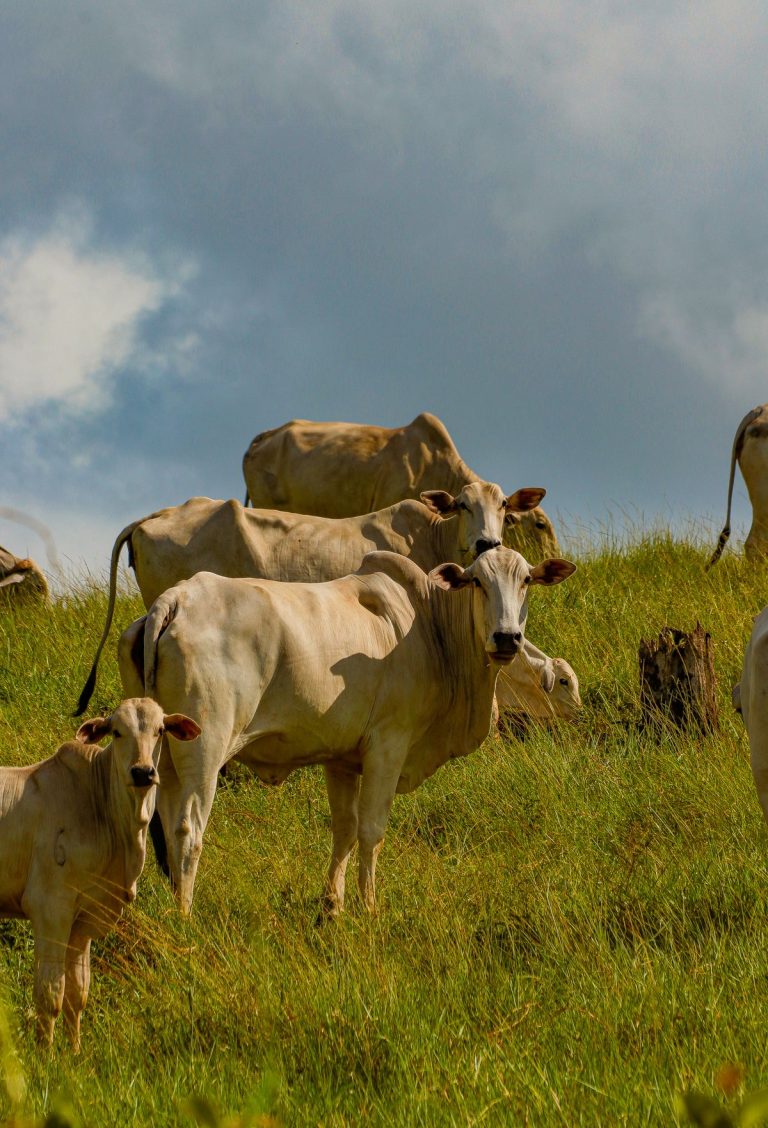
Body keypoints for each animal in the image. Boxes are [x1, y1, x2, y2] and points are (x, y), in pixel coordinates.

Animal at [0, 699, 200, 1050]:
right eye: (117, 732)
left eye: (160, 730)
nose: (143, 771)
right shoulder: (50, 909)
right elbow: (50, 996)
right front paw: (46, 1057)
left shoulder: (84, 920)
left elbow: (77, 994)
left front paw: (75, 1054)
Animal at [118, 546, 576, 916]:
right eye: (477, 581)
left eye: (527, 580)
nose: (507, 637)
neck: (430, 626)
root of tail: (177, 598)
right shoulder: (388, 746)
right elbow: (371, 830)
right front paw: (369, 907)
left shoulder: (340, 759)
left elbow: (344, 829)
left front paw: (332, 904)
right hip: (204, 750)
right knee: (188, 830)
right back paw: (185, 915)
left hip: (160, 753)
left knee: (160, 826)